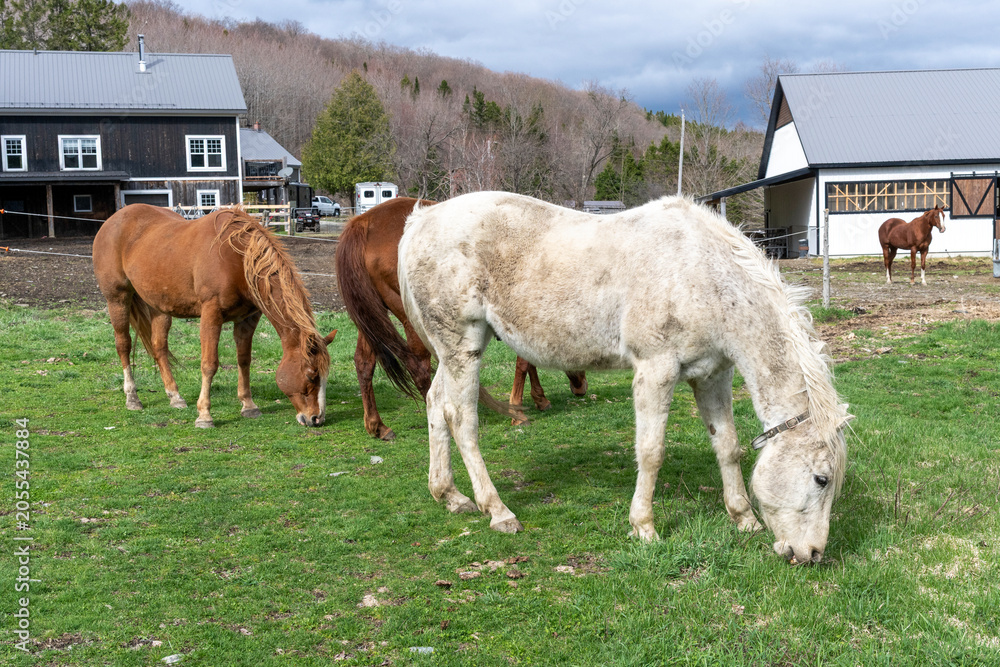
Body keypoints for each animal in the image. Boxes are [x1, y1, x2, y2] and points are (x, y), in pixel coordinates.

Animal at [93, 204, 336, 428]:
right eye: (311, 375)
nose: (316, 418)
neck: (236, 257)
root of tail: (112, 220)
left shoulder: (248, 318)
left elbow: (244, 360)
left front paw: (249, 406)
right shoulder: (211, 313)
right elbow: (209, 364)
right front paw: (204, 415)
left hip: (159, 307)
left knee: (159, 347)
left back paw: (175, 397)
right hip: (118, 299)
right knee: (123, 345)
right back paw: (132, 397)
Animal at [334, 196, 586, 440]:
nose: (581, 388)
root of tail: (364, 222)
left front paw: (539, 399)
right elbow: (523, 362)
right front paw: (519, 411)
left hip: (371, 320)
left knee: (364, 363)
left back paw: (377, 425)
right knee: (419, 368)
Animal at [398, 192, 852, 564]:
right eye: (822, 479)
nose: (812, 554)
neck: (703, 275)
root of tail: (421, 220)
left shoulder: (712, 376)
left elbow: (728, 446)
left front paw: (743, 518)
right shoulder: (656, 371)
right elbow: (651, 452)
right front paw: (644, 526)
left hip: (451, 353)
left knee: (436, 404)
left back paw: (449, 495)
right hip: (463, 345)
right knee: (462, 419)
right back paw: (497, 511)